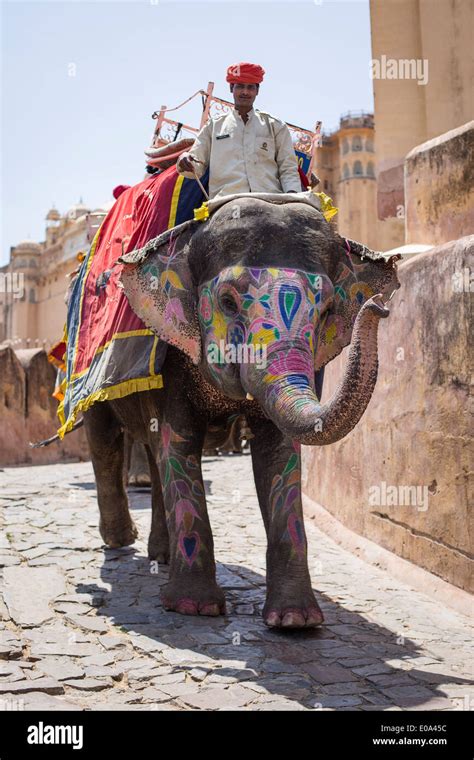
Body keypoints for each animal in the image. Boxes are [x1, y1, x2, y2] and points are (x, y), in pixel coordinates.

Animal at [82, 191, 400, 628]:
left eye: (327, 311)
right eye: (228, 302)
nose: (380, 306)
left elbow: (278, 456)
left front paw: (296, 621)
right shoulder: (173, 351)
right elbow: (180, 442)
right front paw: (195, 609)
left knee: (151, 450)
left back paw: (160, 556)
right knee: (106, 441)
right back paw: (119, 542)